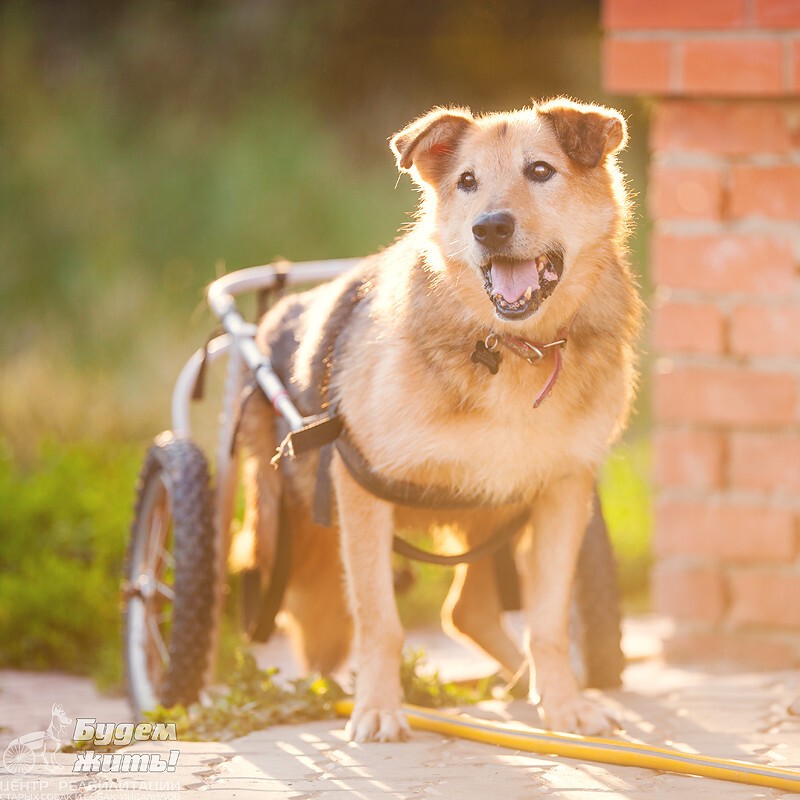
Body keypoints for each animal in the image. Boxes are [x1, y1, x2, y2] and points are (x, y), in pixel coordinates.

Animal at [238, 98, 644, 744]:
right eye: (467, 182)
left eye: (540, 171)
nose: (489, 227)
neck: (513, 349)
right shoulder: (360, 489)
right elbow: (379, 620)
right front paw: (379, 707)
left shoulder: (563, 492)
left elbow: (549, 623)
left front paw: (562, 704)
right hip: (277, 524)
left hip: (491, 510)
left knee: (468, 611)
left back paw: (519, 681)